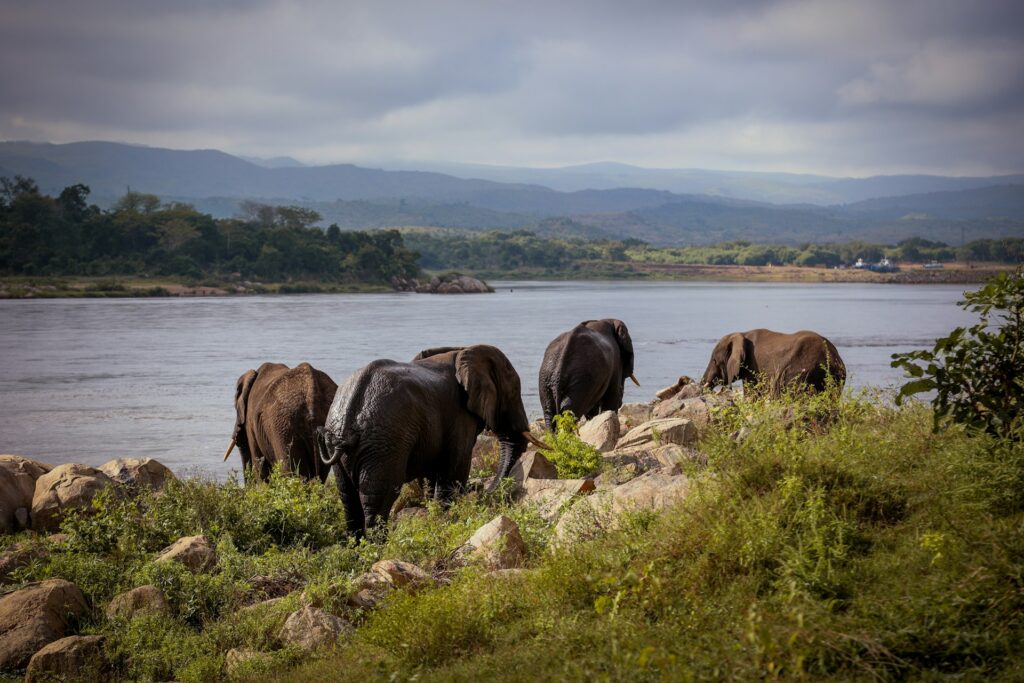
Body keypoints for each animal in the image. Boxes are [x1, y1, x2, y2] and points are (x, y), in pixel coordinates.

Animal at [316, 344, 546, 537]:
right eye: (514, 392)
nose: (482, 491)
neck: (463, 350)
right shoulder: (459, 415)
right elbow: (455, 469)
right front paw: (445, 520)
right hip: (384, 445)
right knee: (377, 499)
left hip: (345, 444)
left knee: (348, 498)